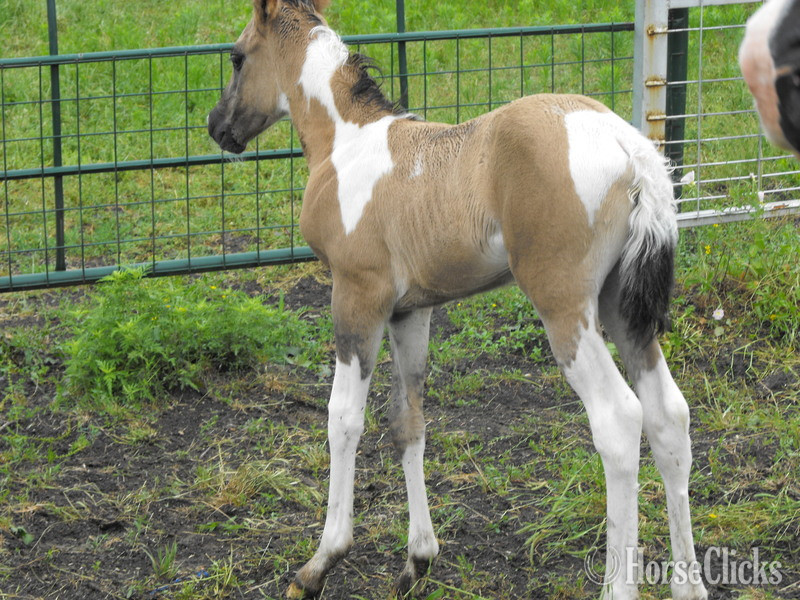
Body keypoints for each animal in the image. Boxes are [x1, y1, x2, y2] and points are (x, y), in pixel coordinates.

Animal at [208, 1, 709, 598]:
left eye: (237, 58)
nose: (218, 127)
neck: (346, 142)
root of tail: (629, 147)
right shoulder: (411, 310)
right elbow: (408, 422)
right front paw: (417, 559)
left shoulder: (357, 295)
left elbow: (343, 419)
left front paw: (320, 563)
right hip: (621, 307)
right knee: (668, 416)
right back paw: (689, 585)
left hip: (565, 307)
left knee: (618, 420)